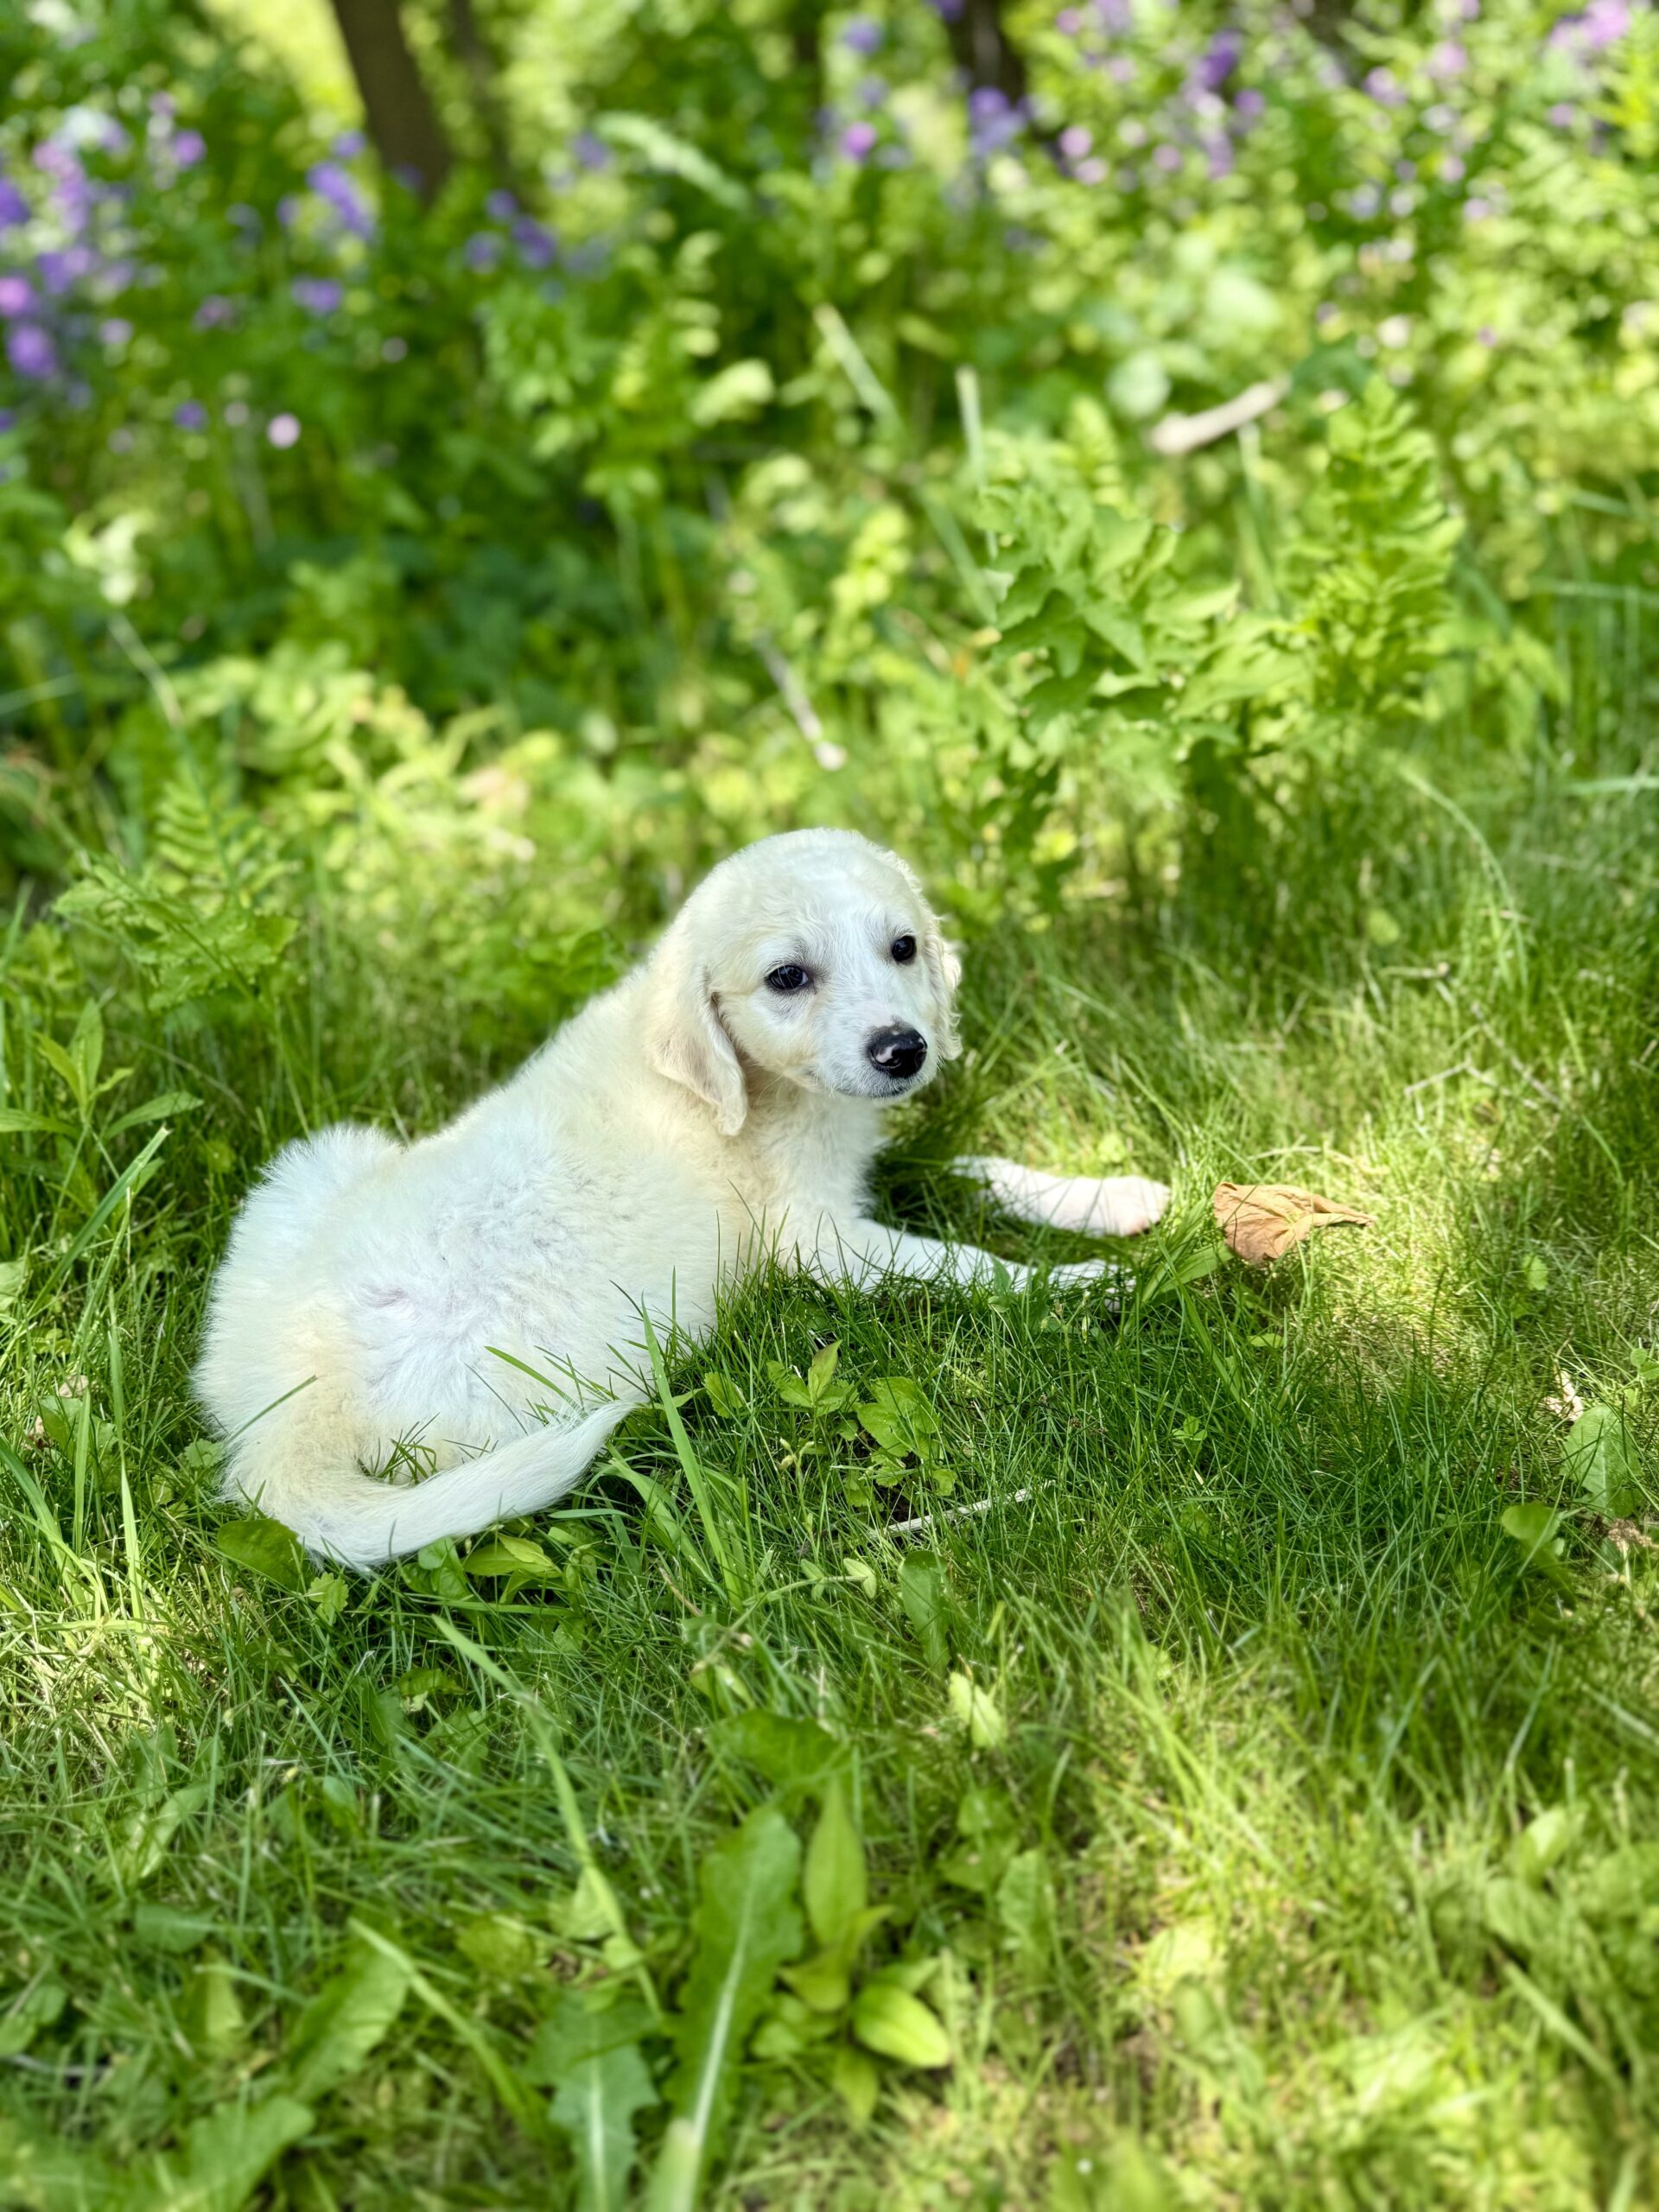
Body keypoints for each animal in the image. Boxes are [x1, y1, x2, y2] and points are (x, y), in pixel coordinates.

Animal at [197, 830, 1169, 1568]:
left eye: (904, 947)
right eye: (787, 978)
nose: (904, 1050)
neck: (745, 1089)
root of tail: (293, 1408)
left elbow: (962, 1167)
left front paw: (1108, 1198)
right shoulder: (818, 1240)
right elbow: (967, 1260)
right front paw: (1091, 1281)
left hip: (309, 1168)